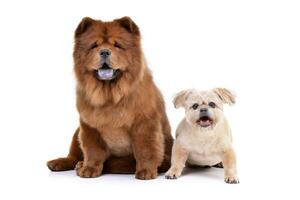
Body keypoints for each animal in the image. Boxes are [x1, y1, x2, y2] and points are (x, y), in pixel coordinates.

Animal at [47, 16, 173, 180]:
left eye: (117, 45)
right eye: (94, 45)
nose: (105, 52)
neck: (110, 94)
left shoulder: (144, 123)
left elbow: (145, 149)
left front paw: (146, 172)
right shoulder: (89, 126)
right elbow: (92, 150)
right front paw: (89, 169)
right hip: (77, 132)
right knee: (73, 156)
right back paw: (62, 163)